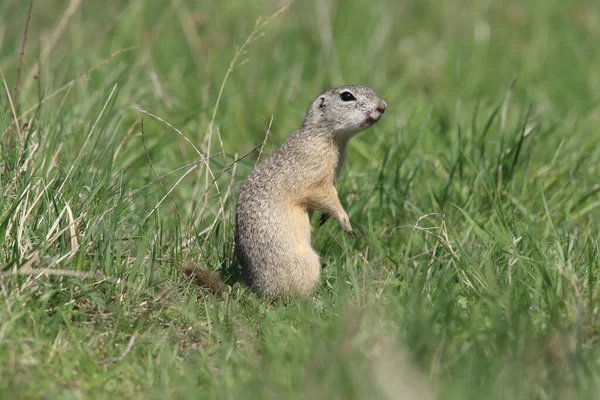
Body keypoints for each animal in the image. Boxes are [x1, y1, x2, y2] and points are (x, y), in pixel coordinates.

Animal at [232, 86, 386, 302]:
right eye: (347, 96)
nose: (383, 106)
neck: (328, 138)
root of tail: (259, 290)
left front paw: (326, 217)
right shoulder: (315, 173)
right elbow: (324, 195)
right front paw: (345, 221)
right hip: (309, 263)